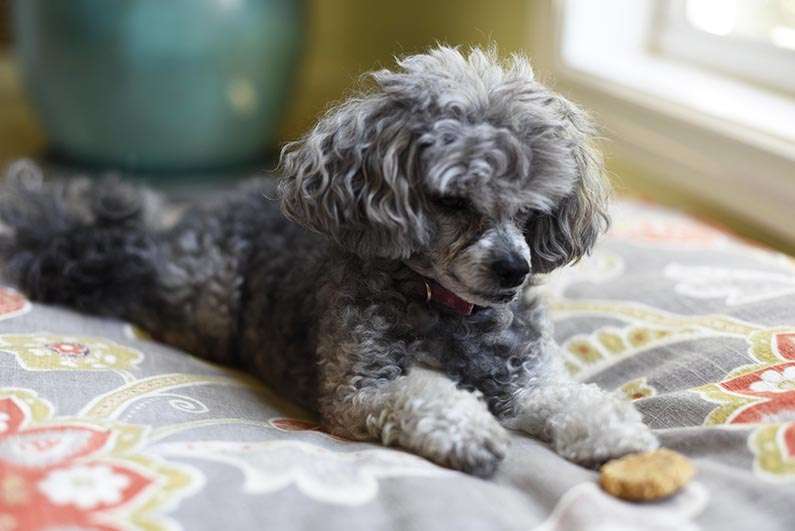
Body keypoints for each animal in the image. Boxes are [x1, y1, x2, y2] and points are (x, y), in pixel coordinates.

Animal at [1, 46, 660, 478]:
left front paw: (613, 429)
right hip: (208, 301)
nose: (515, 270)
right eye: (451, 199)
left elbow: (565, 396)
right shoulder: (359, 391)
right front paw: (468, 429)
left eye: (534, 206)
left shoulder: (525, 375)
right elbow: (424, 394)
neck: (451, 311)